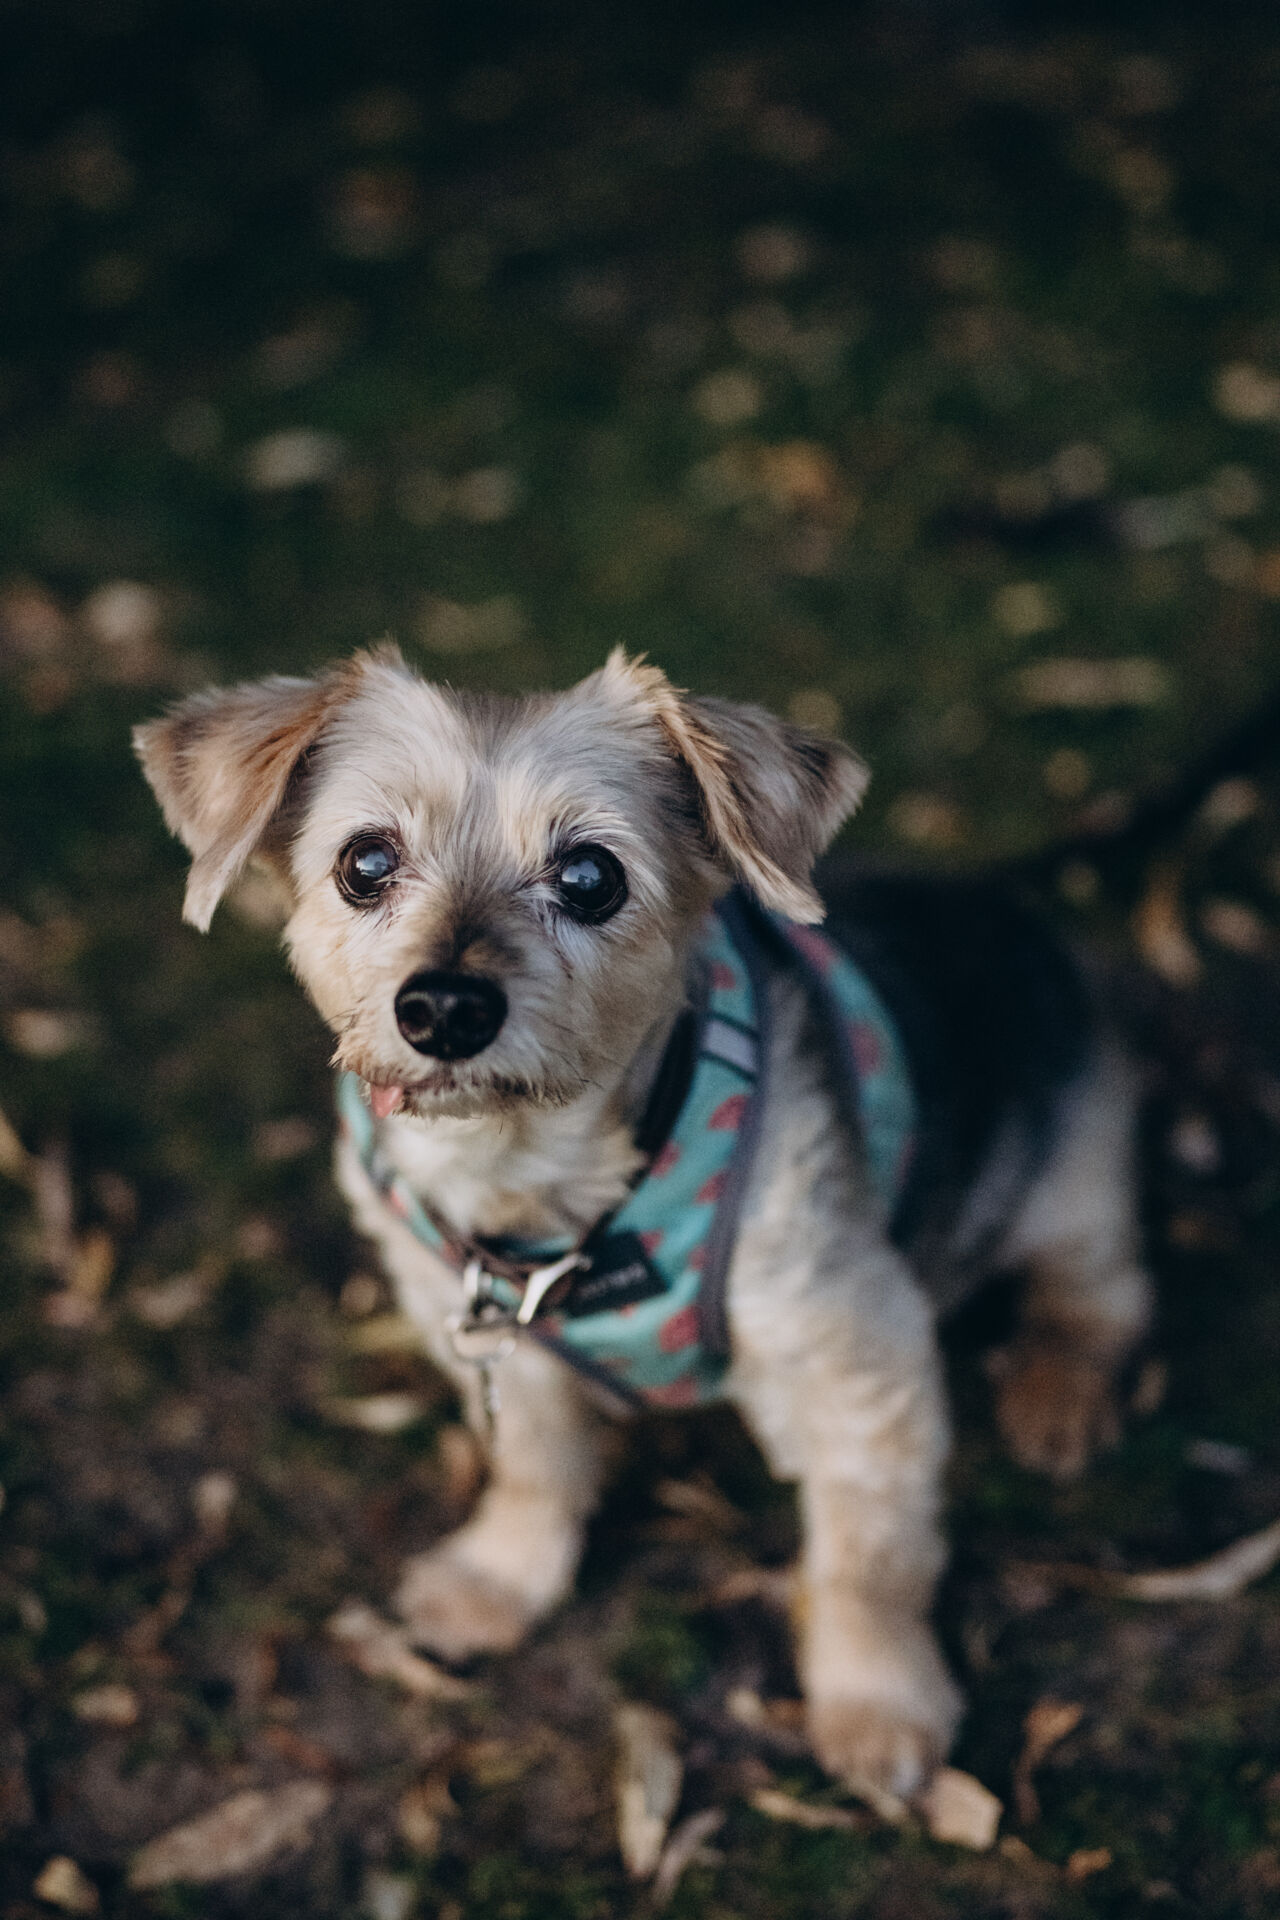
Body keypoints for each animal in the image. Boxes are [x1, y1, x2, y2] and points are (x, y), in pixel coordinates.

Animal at [135, 644, 1152, 1805]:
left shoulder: (857, 1353)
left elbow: (868, 1556)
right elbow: (531, 1467)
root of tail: (1007, 903)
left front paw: (876, 1704)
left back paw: (1058, 1393)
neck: (536, 1185)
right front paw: (497, 1582)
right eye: (365, 862)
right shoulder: (476, 1330)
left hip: (1078, 1180)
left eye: (590, 877)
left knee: (1102, 1292)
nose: (445, 1006)